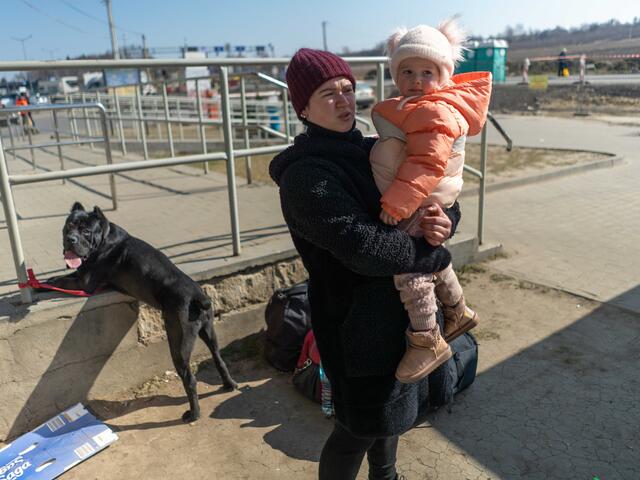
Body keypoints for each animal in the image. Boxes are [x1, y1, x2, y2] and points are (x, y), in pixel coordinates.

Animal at [48, 202, 238, 420]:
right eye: (68, 227)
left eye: (86, 231)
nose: (70, 239)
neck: (105, 237)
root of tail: (199, 297)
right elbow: (64, 276)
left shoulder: (85, 282)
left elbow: (61, 280)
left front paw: (39, 284)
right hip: (209, 330)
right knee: (218, 358)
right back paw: (229, 385)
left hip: (179, 343)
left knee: (189, 379)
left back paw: (193, 414)